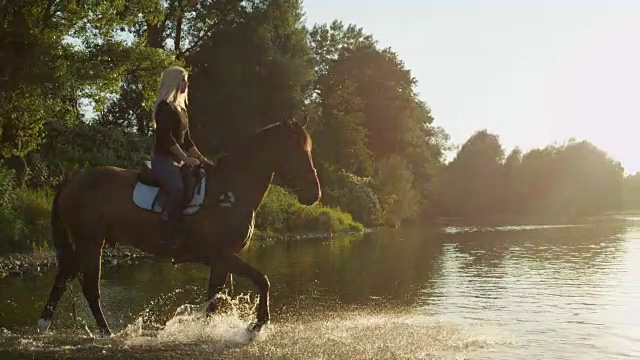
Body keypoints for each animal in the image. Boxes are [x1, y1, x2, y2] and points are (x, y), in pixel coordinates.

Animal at [35, 119, 320, 336]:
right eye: (297, 151)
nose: (314, 193)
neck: (231, 192)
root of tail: (74, 179)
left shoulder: (221, 261)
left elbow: (214, 299)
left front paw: (208, 329)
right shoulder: (221, 255)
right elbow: (262, 281)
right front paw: (258, 323)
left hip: (86, 243)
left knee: (64, 277)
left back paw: (43, 325)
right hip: (90, 243)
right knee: (90, 289)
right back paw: (107, 333)